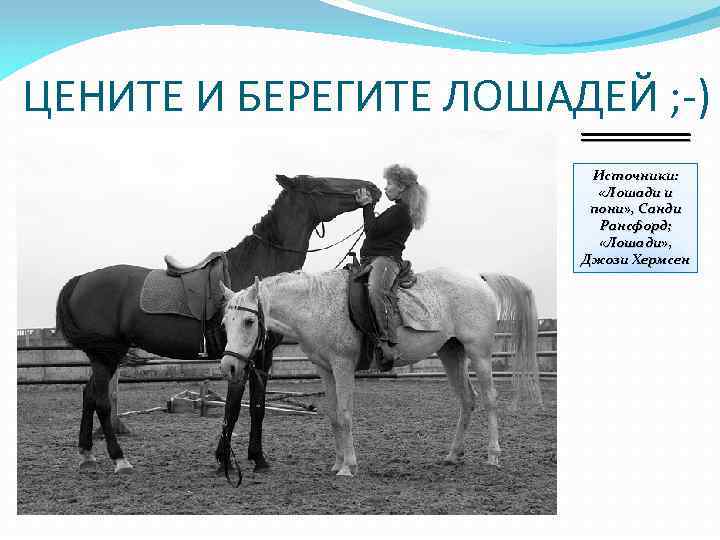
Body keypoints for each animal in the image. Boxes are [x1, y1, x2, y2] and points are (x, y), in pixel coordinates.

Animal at [55, 175, 381, 473]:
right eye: (317, 185)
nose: (372, 189)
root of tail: (80, 281)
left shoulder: (261, 357)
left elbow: (258, 408)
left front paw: (258, 458)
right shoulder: (241, 358)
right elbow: (234, 408)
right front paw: (225, 459)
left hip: (102, 356)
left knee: (88, 395)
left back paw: (87, 454)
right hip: (107, 354)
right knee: (101, 401)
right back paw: (119, 458)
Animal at [218, 268, 543, 477]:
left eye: (248, 321)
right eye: (224, 322)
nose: (229, 367)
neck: (316, 305)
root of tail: (479, 278)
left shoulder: (343, 366)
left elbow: (345, 414)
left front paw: (348, 466)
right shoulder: (325, 369)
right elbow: (333, 415)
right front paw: (337, 463)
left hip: (480, 354)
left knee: (489, 399)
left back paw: (493, 455)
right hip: (451, 354)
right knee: (467, 400)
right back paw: (453, 455)